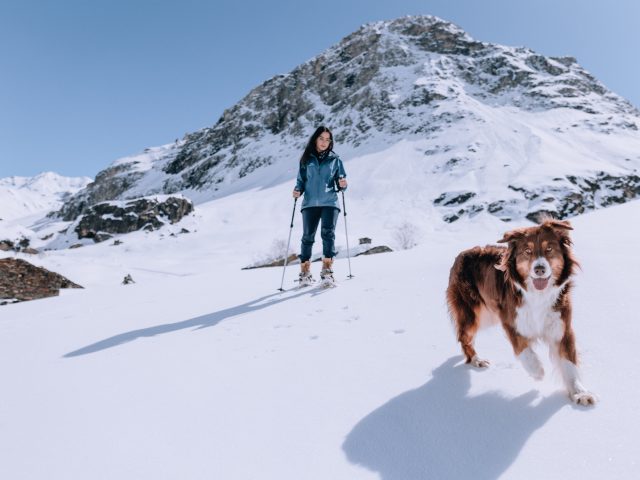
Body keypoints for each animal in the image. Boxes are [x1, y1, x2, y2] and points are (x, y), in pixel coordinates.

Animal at [444, 218, 596, 404]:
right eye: (527, 251)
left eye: (549, 249)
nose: (539, 269)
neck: (538, 295)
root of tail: (462, 254)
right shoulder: (511, 321)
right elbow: (523, 349)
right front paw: (537, 370)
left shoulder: (562, 327)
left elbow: (569, 364)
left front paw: (580, 393)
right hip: (474, 314)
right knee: (464, 336)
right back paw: (476, 360)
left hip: (488, 316)